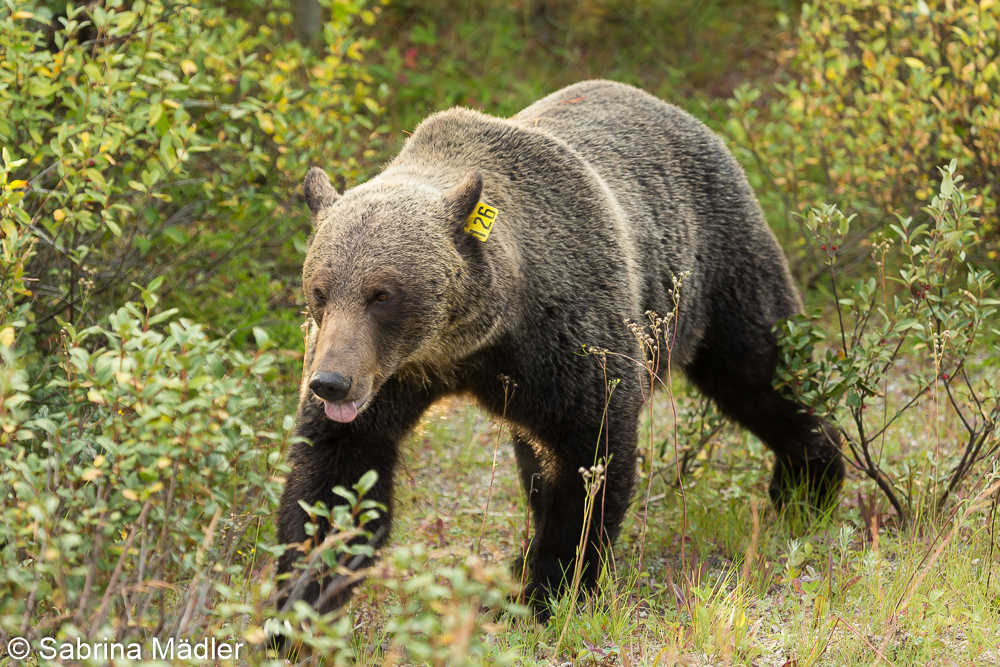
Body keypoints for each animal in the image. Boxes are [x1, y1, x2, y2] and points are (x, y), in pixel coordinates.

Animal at [276, 82, 844, 620]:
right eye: (320, 290)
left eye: (382, 294)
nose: (331, 383)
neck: (470, 343)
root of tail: (680, 114)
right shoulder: (397, 376)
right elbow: (337, 476)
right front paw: (299, 602)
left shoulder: (568, 338)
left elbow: (589, 458)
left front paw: (551, 590)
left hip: (719, 264)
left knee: (760, 368)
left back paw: (809, 487)